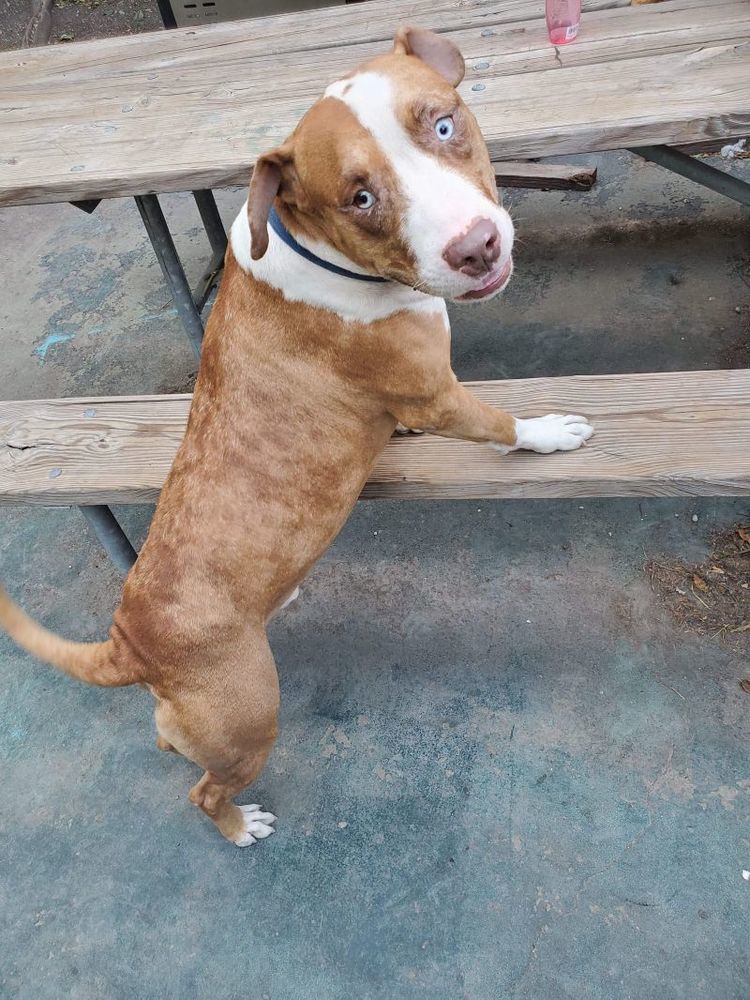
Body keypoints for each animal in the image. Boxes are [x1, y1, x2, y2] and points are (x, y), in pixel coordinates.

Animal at [0, 29, 592, 844]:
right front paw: (547, 432)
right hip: (248, 718)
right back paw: (238, 826)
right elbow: (502, 423)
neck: (322, 254)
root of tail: (130, 643)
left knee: (172, 746)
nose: (475, 246)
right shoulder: (441, 396)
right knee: (203, 792)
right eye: (359, 197)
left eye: (443, 124)